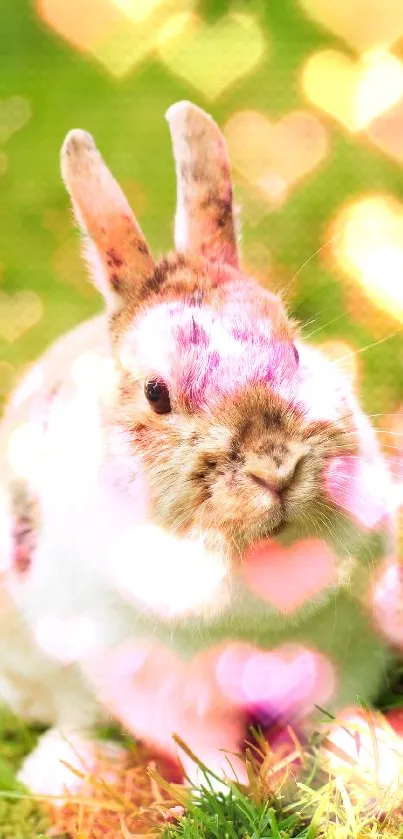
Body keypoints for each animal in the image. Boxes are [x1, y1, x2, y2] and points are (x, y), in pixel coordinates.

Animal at [0, 100, 400, 796]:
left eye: (294, 349)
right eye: (157, 394)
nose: (276, 466)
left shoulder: (341, 648)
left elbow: (317, 720)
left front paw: (336, 766)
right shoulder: (161, 682)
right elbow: (203, 747)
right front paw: (229, 789)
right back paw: (69, 770)